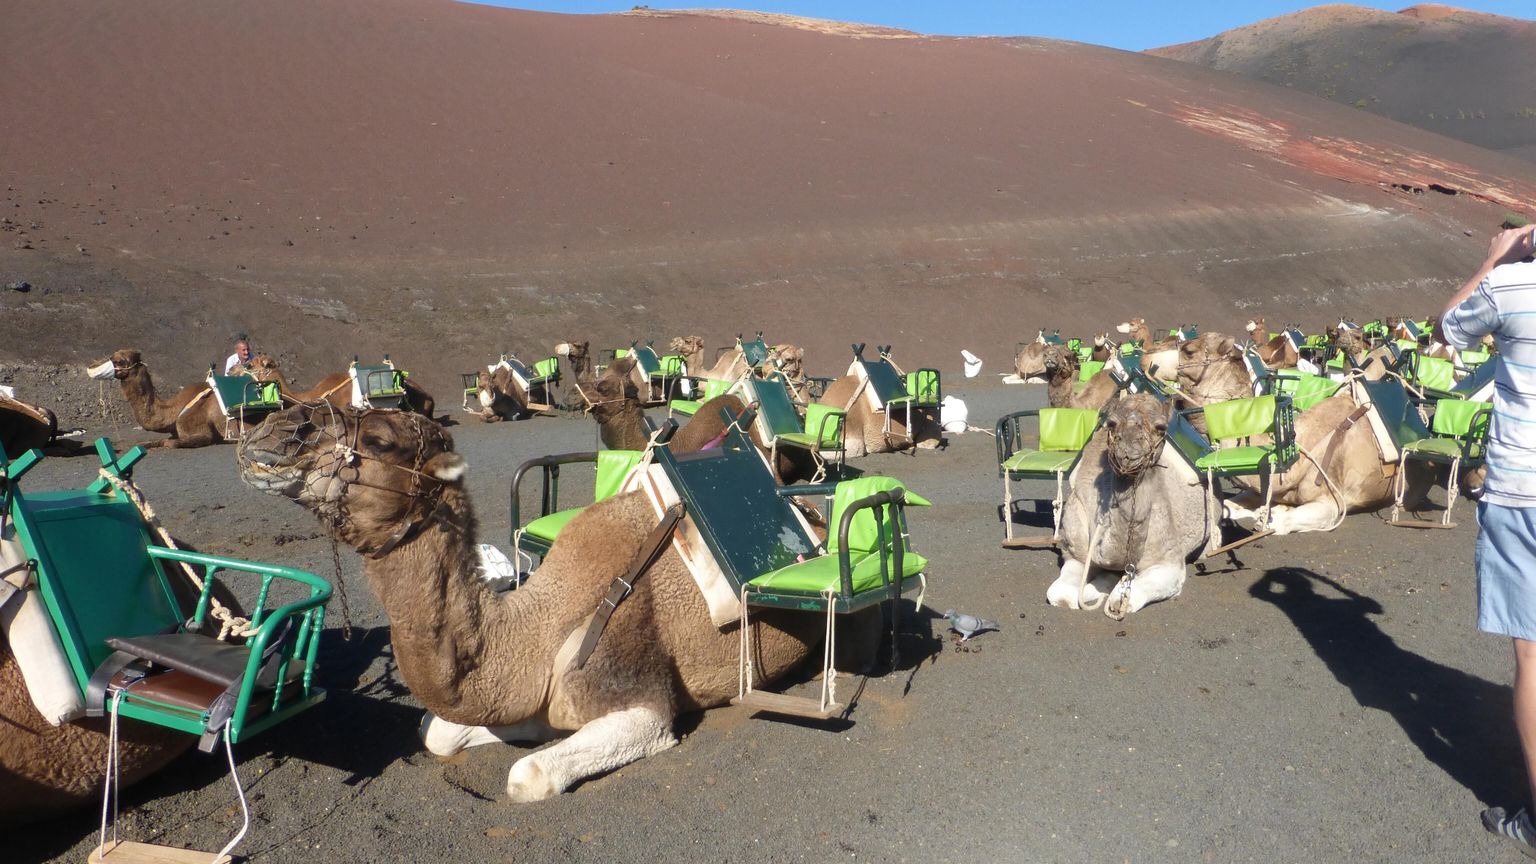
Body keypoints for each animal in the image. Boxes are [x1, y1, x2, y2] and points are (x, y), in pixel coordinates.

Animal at [230, 402, 878, 799]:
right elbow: (438, 732)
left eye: (381, 440)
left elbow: (530, 773)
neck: (538, 629)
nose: (275, 427)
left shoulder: (641, 701)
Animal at [1050, 393, 1216, 614]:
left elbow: (1122, 599)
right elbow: (1060, 595)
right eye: (1111, 423)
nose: (1129, 452)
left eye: (1161, 427)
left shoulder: (1170, 562)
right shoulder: (1075, 551)